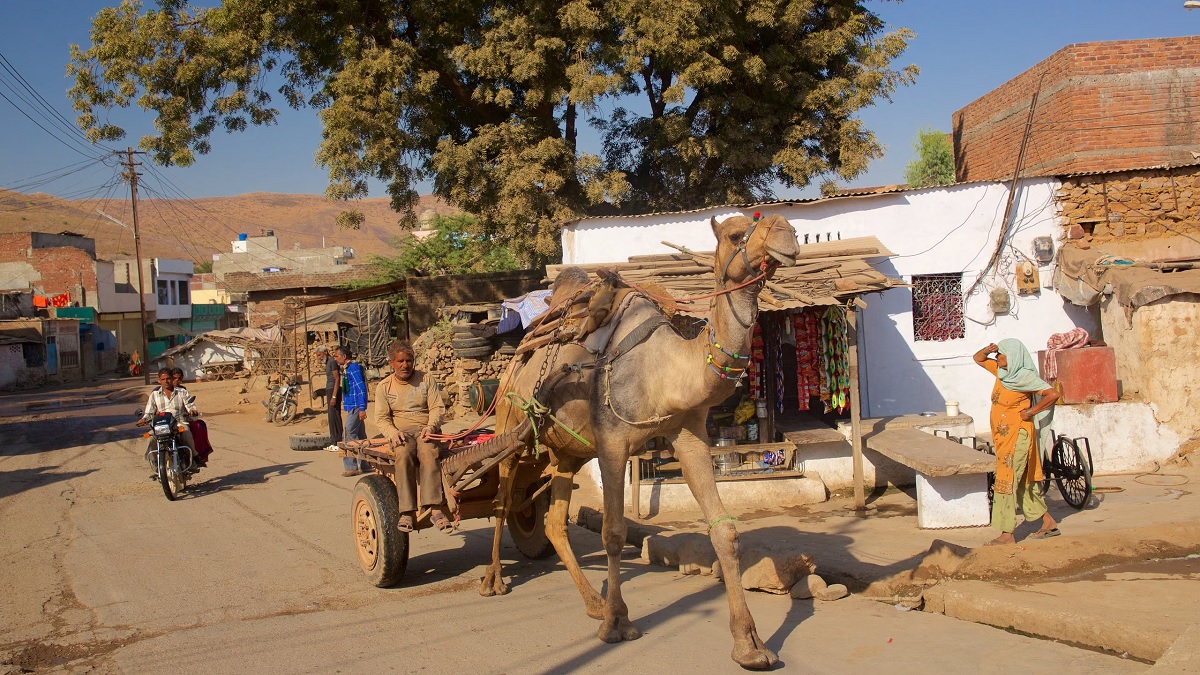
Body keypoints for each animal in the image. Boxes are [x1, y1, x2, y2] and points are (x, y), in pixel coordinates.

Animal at [482, 212, 801, 662]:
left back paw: (593, 603)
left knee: (554, 522)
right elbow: (614, 533)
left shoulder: (688, 434)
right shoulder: (613, 442)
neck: (666, 371)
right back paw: (494, 580)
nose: (786, 233)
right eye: (736, 233)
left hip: (564, 454)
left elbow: (724, 531)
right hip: (510, 430)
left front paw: (750, 645)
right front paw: (618, 624)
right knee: (501, 500)